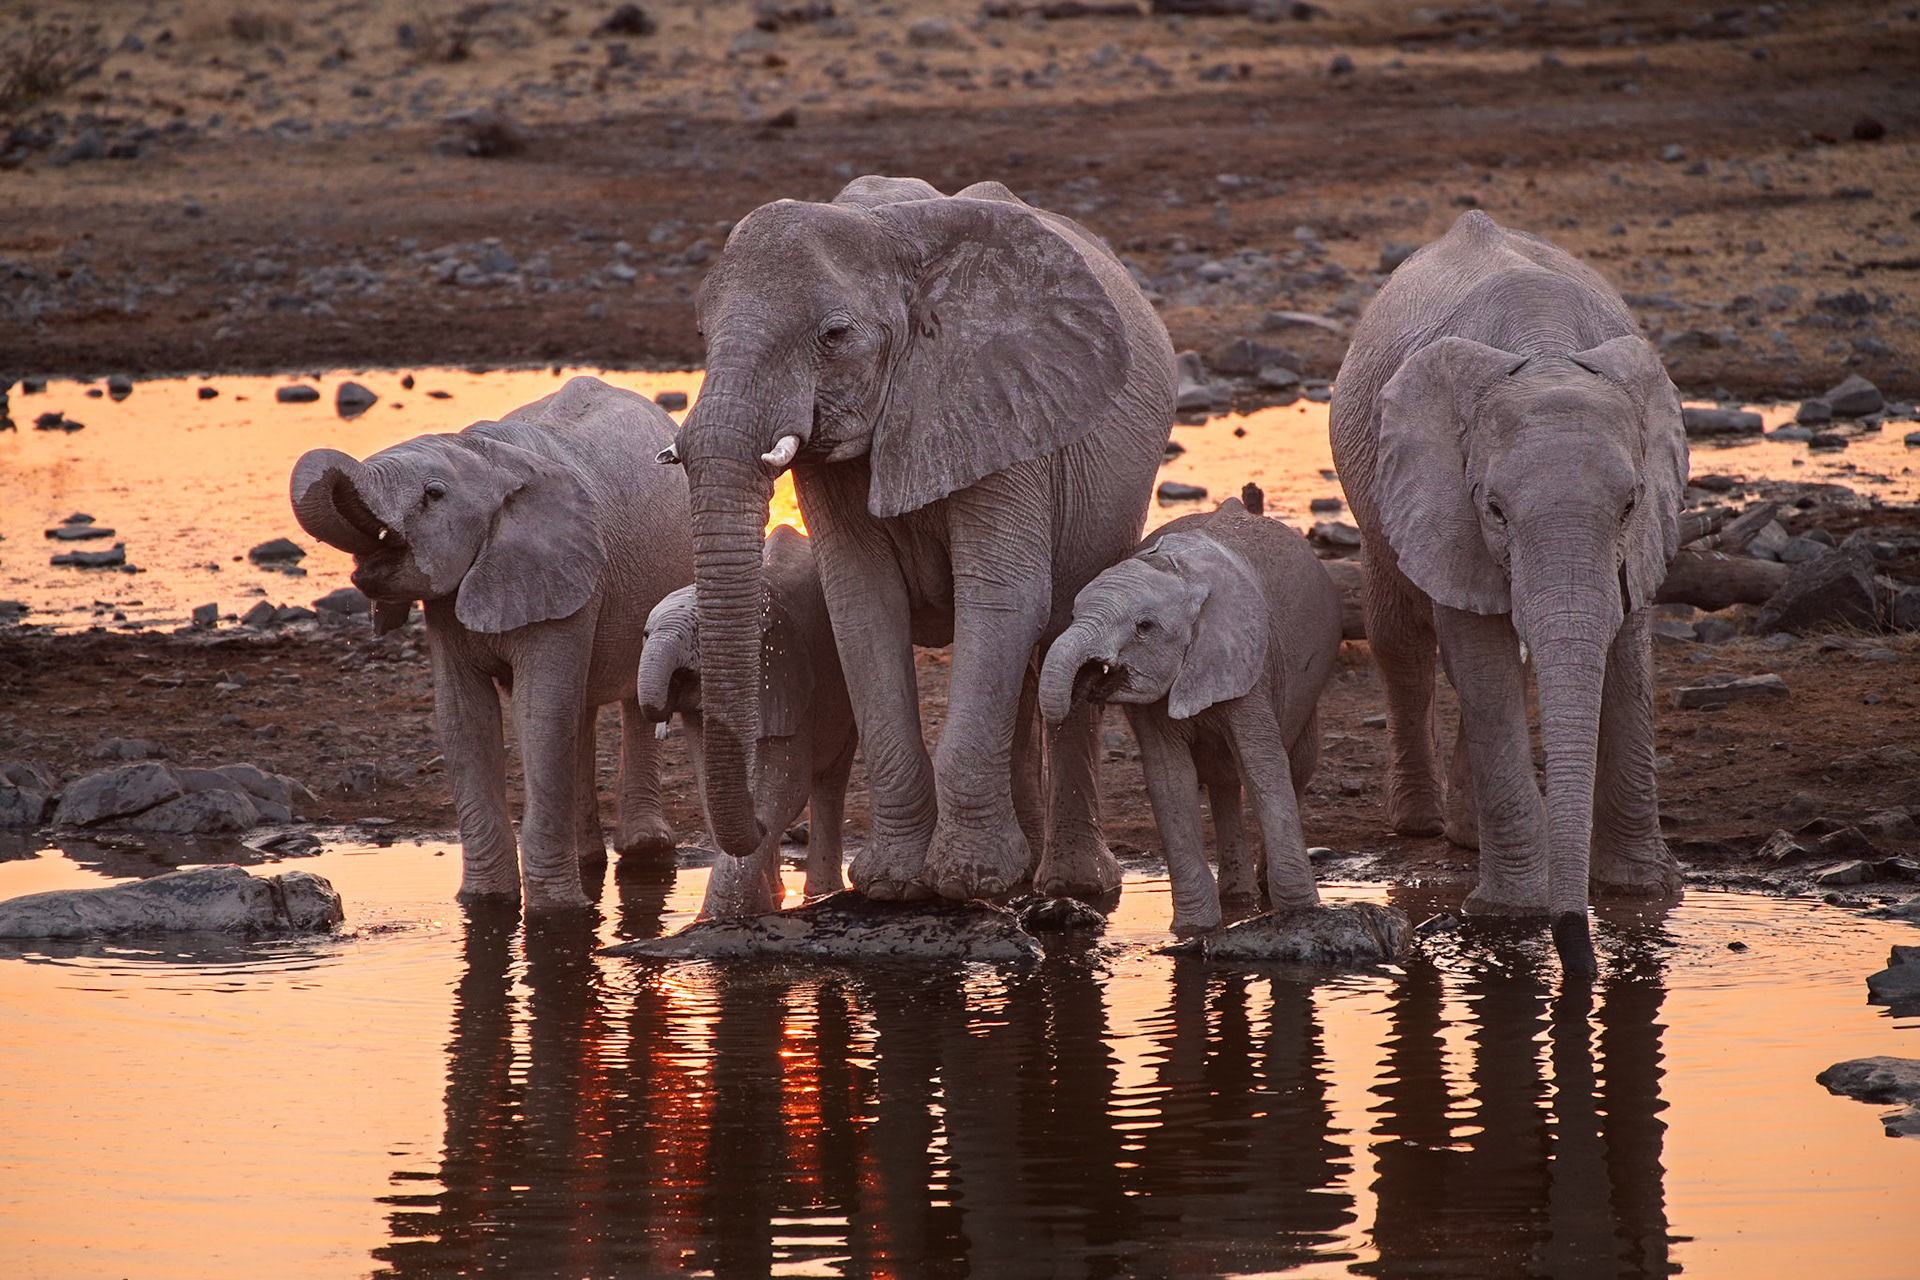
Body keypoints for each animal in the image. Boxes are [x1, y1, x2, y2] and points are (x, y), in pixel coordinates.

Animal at [290, 376, 694, 914]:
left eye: (434, 494)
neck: (489, 458)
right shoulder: (450, 600)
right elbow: (464, 717)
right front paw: (484, 904)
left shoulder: (564, 566)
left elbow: (538, 712)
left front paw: (558, 913)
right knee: (581, 707)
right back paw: (589, 858)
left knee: (625, 696)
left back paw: (645, 851)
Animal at [636, 525, 857, 920]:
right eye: (646, 635)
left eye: (701, 633)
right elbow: (709, 787)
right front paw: (742, 913)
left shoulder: (790, 674)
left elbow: (787, 786)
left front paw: (717, 918)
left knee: (829, 780)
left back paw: (820, 893)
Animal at [663, 173, 1176, 904]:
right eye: (702, 332)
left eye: (834, 335)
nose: (764, 825)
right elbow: (862, 606)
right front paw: (894, 884)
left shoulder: (1006, 406)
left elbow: (1003, 598)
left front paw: (967, 880)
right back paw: (1025, 874)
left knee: (1062, 635)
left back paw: (1071, 885)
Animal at [1039, 500, 1341, 933]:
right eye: (1074, 613)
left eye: (1144, 626)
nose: (1088, 681)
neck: (1180, 576)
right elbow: (1170, 779)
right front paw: (1192, 931)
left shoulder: (1249, 658)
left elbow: (1263, 766)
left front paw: (1302, 914)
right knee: (1222, 778)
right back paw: (1239, 897)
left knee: (1295, 764)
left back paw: (1259, 891)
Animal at [1328, 210, 1688, 978]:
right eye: (1493, 509)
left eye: (1628, 505)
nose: (1581, 958)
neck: (1545, 352)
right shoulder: (1440, 492)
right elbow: (1479, 657)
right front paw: (1512, 916)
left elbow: (1627, 650)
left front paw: (1646, 893)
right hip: (1373, 492)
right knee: (1401, 637)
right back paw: (1423, 823)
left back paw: (1464, 836)